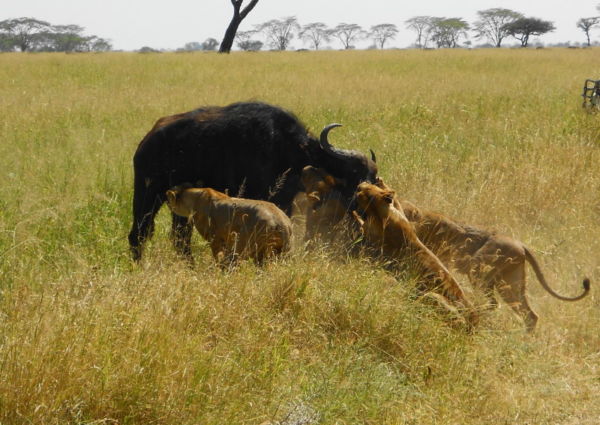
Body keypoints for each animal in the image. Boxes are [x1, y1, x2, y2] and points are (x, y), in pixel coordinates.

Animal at [129, 101, 378, 260]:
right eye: (355, 176)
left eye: (373, 177)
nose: (364, 209)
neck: (289, 150)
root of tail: (148, 140)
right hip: (147, 195)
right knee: (138, 234)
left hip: (179, 208)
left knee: (180, 239)